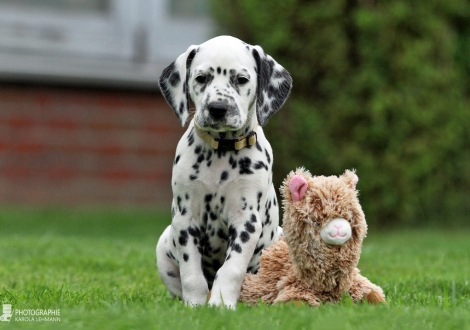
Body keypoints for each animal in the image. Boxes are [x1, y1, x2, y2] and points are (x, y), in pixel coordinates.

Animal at [156, 34, 292, 308]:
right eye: (201, 78)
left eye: (241, 79)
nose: (218, 108)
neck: (221, 151)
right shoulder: (186, 219)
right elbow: (191, 273)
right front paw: (196, 305)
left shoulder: (246, 220)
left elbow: (231, 269)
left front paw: (220, 304)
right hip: (164, 243)